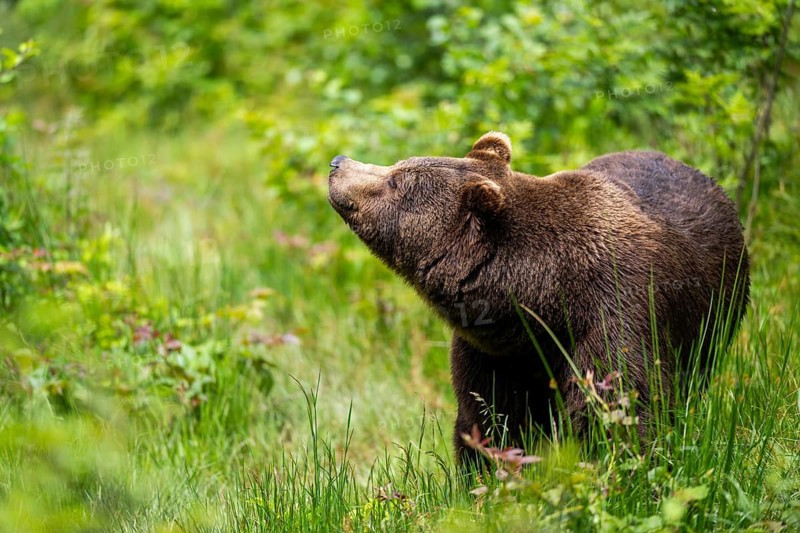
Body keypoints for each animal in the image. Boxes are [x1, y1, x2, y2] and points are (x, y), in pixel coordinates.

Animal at [328, 132, 749, 462]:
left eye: (397, 181)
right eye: (398, 166)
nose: (337, 162)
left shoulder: (616, 314)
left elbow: (617, 407)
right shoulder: (496, 354)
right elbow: (491, 417)